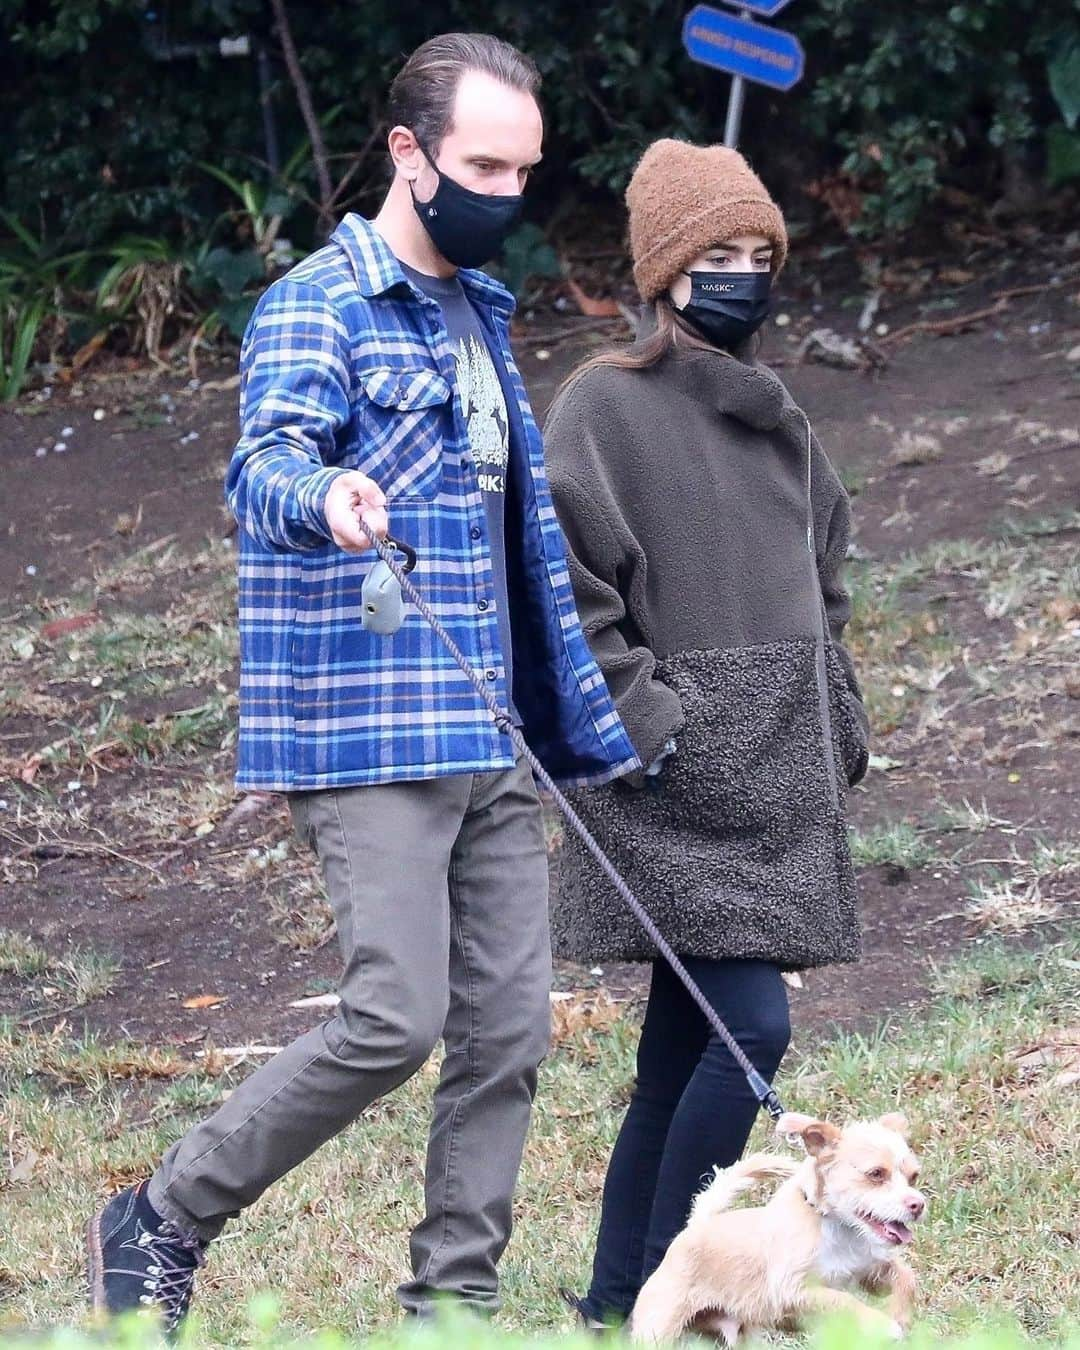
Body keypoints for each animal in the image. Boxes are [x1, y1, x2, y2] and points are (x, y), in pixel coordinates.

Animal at [629, 1112, 923, 1344]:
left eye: (913, 1176)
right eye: (876, 1174)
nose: (918, 1204)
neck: (839, 1228)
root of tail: (696, 1225)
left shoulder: (868, 1271)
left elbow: (906, 1278)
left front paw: (901, 1316)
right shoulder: (792, 1290)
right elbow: (843, 1300)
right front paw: (884, 1325)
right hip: (658, 1329)